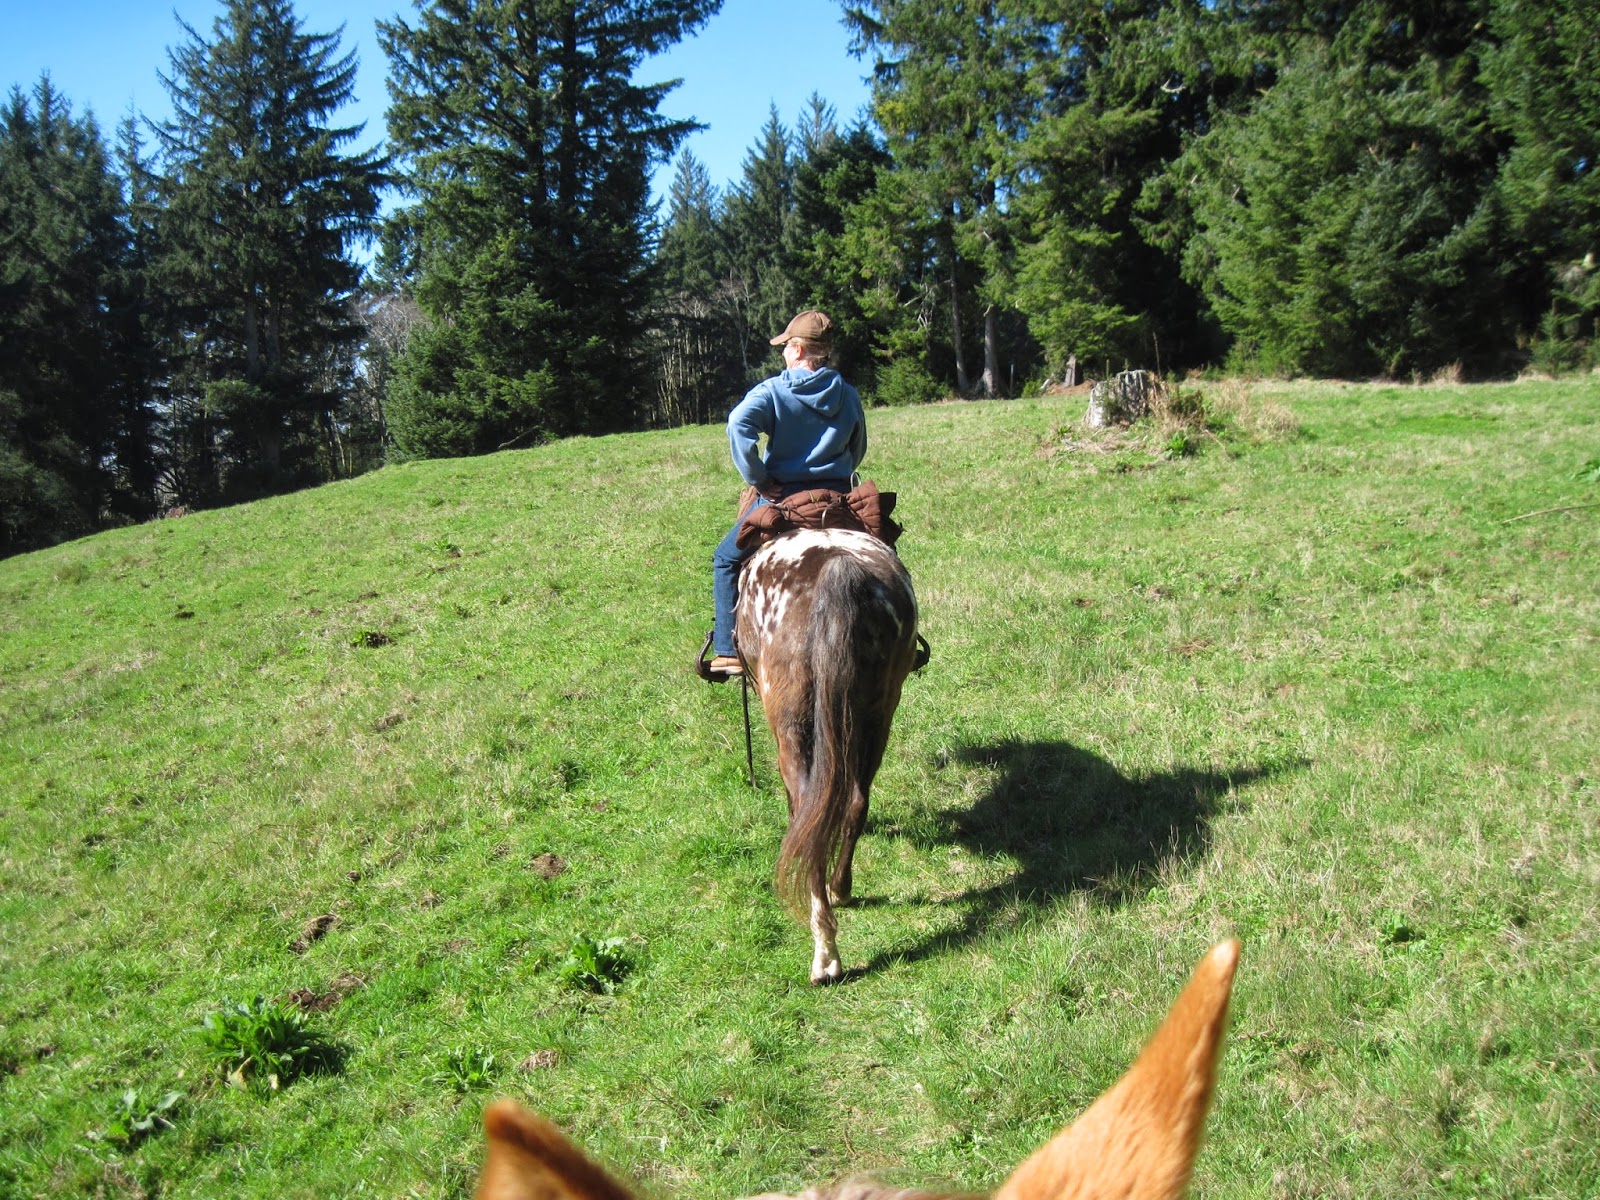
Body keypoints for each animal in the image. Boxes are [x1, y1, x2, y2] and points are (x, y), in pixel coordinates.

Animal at [734, 526, 922, 984]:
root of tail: (837, 574)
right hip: (878, 714)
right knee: (855, 801)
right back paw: (841, 889)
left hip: (790, 724)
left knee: (810, 814)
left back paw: (825, 955)